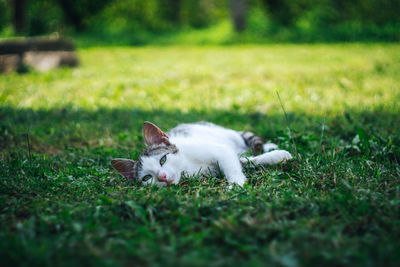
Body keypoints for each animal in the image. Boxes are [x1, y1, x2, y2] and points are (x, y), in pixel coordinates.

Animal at [111, 121, 292, 186]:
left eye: (163, 159)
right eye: (147, 178)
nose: (162, 177)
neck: (186, 167)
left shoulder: (219, 150)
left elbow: (238, 163)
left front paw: (235, 185)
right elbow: (243, 162)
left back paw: (269, 146)